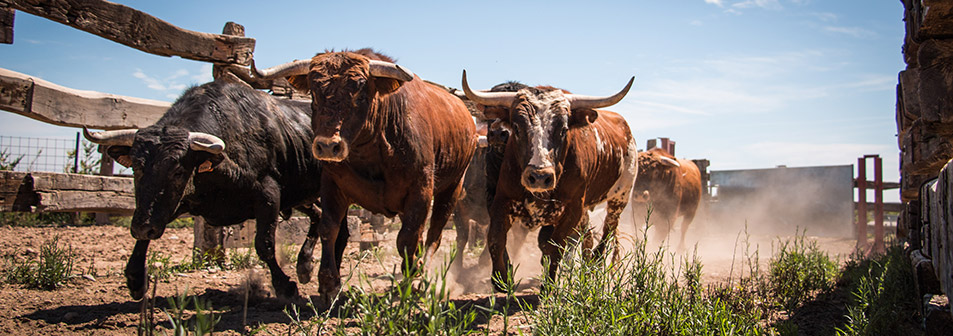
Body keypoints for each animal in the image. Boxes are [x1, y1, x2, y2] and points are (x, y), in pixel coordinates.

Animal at [251, 49, 476, 300]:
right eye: (314, 94)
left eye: (359, 94)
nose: (327, 146)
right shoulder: (332, 185)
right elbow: (329, 228)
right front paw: (329, 284)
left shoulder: (421, 191)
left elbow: (407, 238)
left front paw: (412, 282)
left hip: (451, 190)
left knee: (434, 234)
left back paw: (423, 274)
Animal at [462, 71, 640, 292]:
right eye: (517, 127)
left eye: (563, 129)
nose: (539, 176)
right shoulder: (500, 200)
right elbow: (496, 239)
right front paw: (501, 278)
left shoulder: (572, 209)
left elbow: (555, 246)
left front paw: (548, 285)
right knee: (588, 237)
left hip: (620, 198)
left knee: (606, 233)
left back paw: (594, 270)